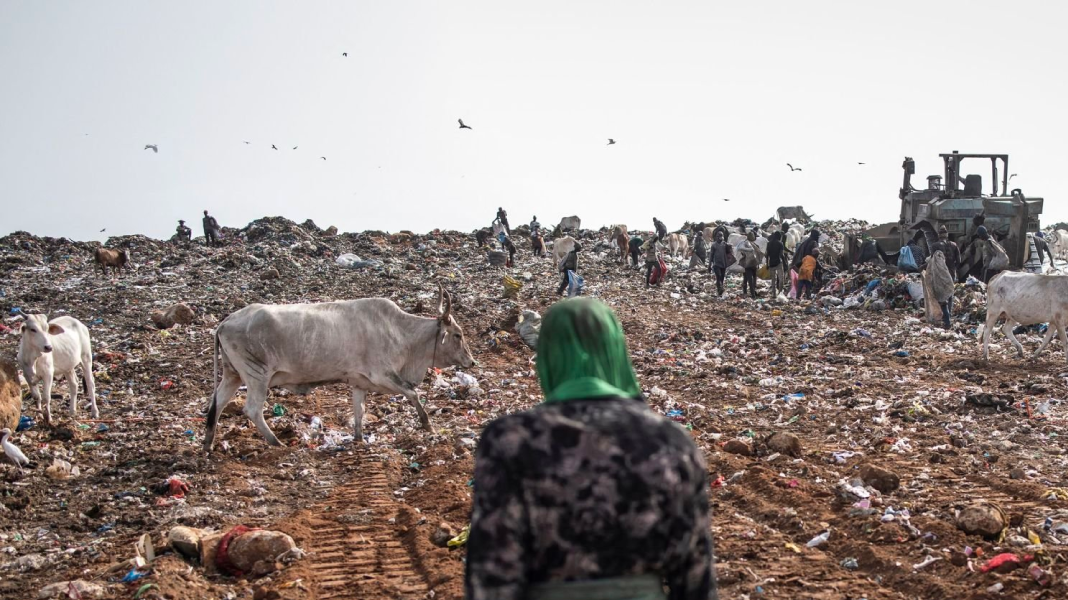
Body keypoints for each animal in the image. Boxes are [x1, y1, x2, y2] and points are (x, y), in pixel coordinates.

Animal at [203, 283, 476, 448]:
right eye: (458, 335)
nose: (471, 361)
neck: (400, 332)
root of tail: (227, 320)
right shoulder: (384, 375)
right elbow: (413, 394)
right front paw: (428, 425)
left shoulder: (359, 382)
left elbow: (359, 412)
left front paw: (359, 438)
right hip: (256, 375)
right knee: (252, 409)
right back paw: (275, 442)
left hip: (233, 374)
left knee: (218, 403)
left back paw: (208, 442)